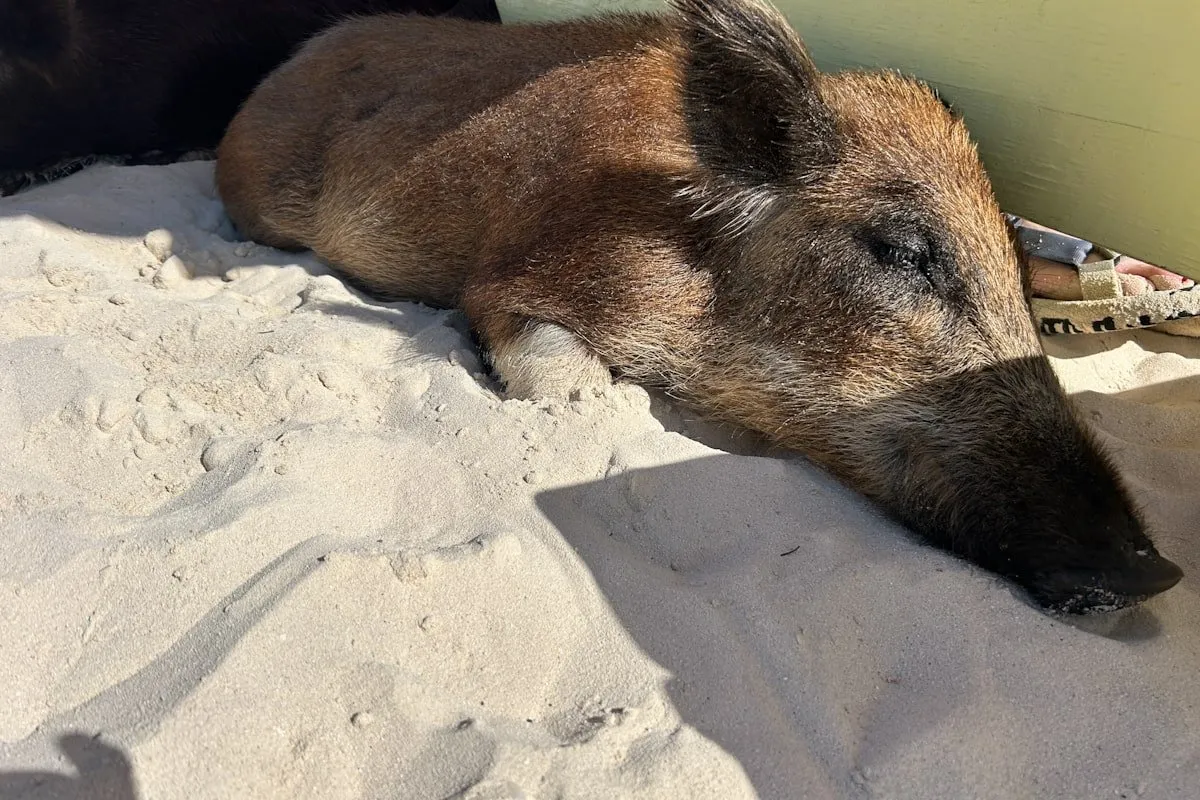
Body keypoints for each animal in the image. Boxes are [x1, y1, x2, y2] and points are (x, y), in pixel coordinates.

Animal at [216, 0, 1184, 613]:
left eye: (1008, 268)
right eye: (903, 251)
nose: (1160, 575)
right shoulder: (527, 272)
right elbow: (552, 365)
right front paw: (586, 397)